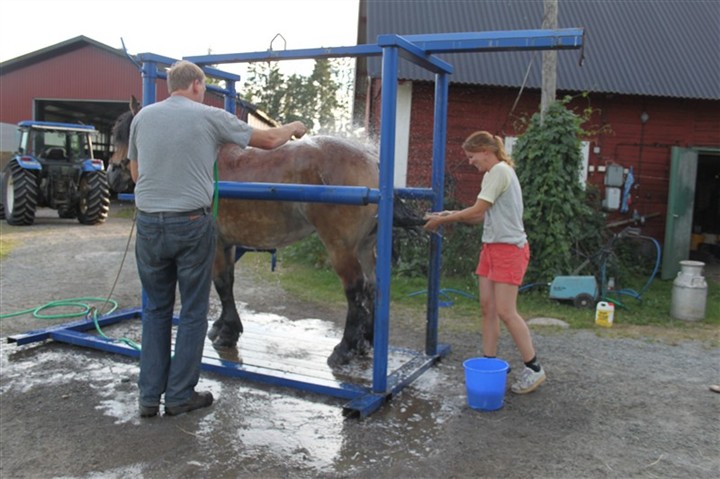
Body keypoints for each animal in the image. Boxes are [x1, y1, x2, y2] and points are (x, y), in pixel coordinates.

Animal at [109, 101, 420, 366]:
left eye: (125, 134)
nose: (113, 174)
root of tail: (370, 158)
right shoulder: (226, 244)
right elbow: (226, 283)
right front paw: (223, 326)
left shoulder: (216, 243)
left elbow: (221, 284)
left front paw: (228, 332)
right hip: (365, 246)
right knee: (373, 285)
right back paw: (365, 341)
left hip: (340, 248)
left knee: (356, 290)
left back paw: (344, 348)